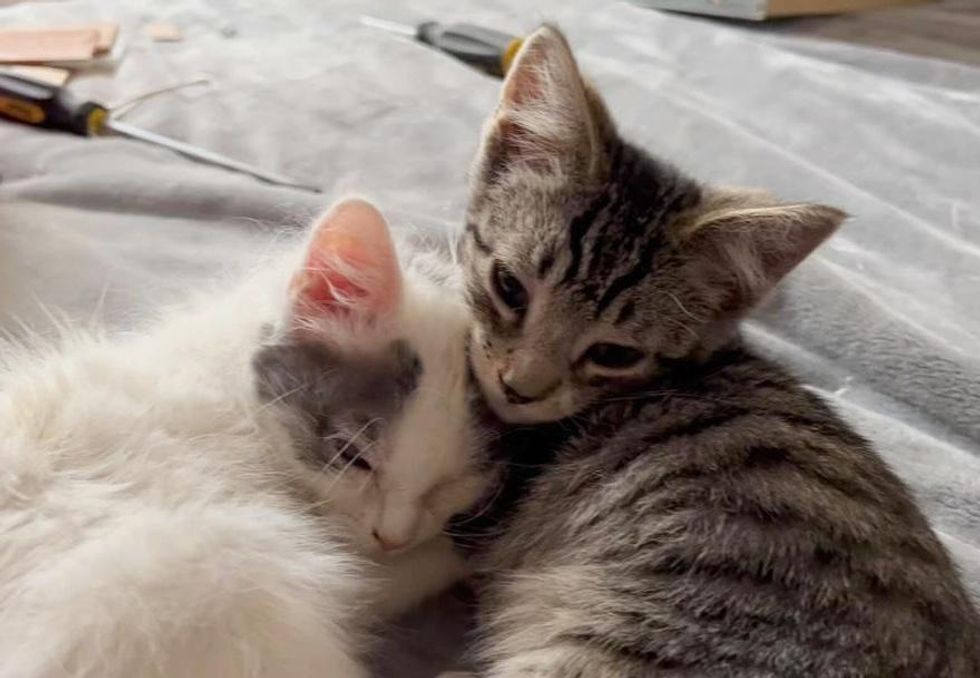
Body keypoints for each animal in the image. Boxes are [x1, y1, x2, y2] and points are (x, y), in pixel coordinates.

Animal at [0, 199, 494, 676]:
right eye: (352, 455)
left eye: (451, 485)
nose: (391, 537)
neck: (238, 405)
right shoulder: (340, 562)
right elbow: (393, 576)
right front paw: (468, 555)